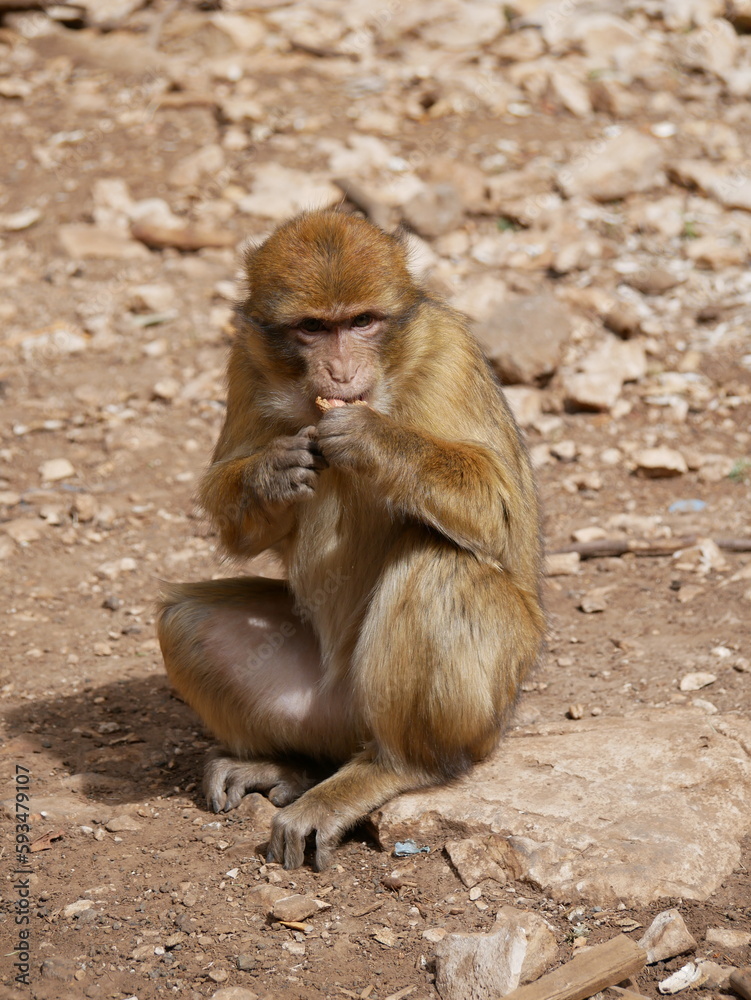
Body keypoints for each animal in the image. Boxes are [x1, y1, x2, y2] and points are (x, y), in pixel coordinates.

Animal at [157, 209, 545, 871]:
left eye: (361, 322)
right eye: (314, 328)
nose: (340, 372)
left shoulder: (451, 353)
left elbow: (503, 511)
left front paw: (369, 437)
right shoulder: (245, 360)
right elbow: (232, 518)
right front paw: (272, 472)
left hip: (487, 704)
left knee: (443, 566)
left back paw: (393, 767)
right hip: (322, 709)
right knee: (184, 620)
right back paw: (292, 765)